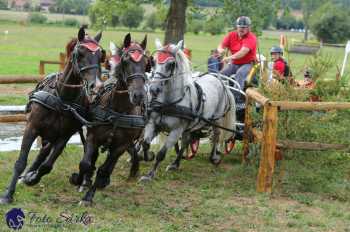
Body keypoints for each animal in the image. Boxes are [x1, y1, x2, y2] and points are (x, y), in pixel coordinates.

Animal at [0, 25, 104, 205]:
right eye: (80, 53)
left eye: (100, 55)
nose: (96, 87)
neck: (62, 98)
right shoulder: (32, 127)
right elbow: (21, 161)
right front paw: (8, 194)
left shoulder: (64, 137)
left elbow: (47, 166)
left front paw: (32, 178)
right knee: (42, 151)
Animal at [69, 33, 148, 204]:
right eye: (125, 61)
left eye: (146, 62)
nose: (138, 95)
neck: (118, 110)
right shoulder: (93, 137)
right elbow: (85, 163)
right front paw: (79, 180)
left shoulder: (120, 146)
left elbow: (104, 170)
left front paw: (89, 197)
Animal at [139, 39, 235, 181]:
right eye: (153, 61)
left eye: (171, 64)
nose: (153, 89)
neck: (168, 103)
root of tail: (220, 80)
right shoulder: (152, 123)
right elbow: (145, 144)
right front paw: (147, 156)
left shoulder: (176, 130)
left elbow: (161, 154)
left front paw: (149, 175)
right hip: (189, 126)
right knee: (186, 141)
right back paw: (175, 164)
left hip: (216, 120)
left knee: (216, 136)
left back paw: (214, 157)